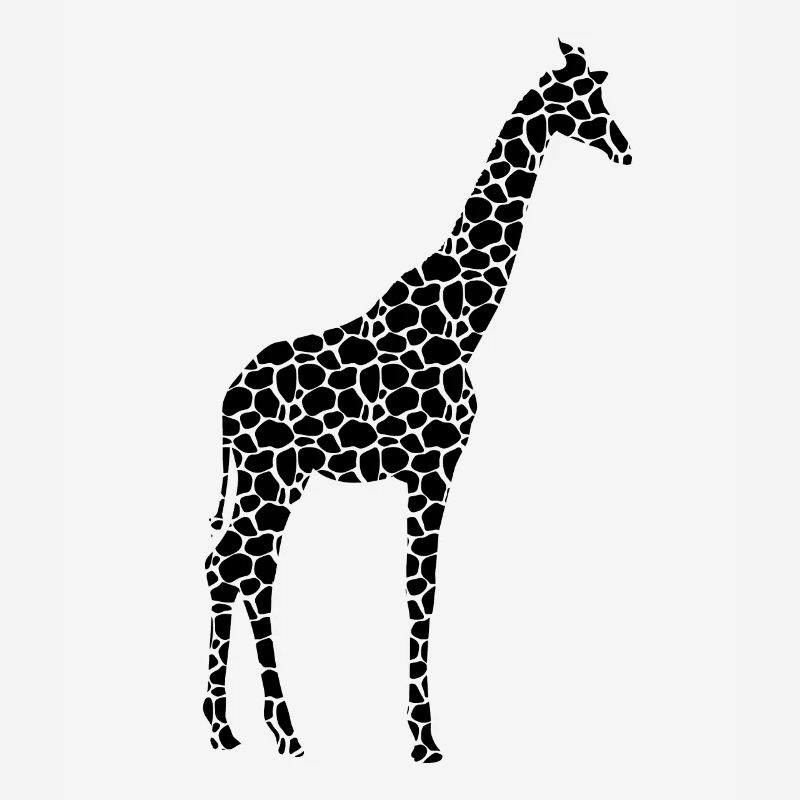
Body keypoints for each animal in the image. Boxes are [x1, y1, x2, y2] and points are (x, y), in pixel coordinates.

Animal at [204, 39, 632, 762]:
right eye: (588, 101)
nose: (625, 148)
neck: (466, 326)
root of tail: (224, 403)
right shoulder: (434, 467)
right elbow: (420, 590)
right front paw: (425, 739)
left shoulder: (429, 470)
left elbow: (417, 589)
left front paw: (419, 732)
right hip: (267, 475)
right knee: (234, 565)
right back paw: (240, 728)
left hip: (283, 479)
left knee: (248, 569)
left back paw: (260, 731)